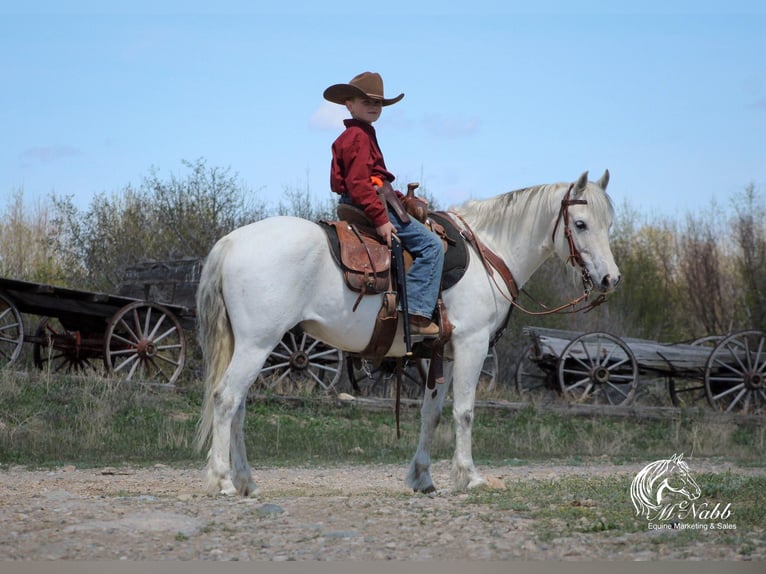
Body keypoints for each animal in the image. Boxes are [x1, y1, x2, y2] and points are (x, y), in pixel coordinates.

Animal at [195, 170, 620, 496]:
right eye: (580, 224)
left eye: (609, 224)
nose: (610, 279)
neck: (489, 251)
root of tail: (231, 241)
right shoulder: (472, 344)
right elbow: (465, 412)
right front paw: (470, 477)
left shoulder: (440, 353)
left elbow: (431, 415)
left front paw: (422, 478)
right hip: (257, 344)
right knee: (226, 399)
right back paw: (223, 481)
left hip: (253, 346)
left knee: (239, 407)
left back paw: (247, 481)